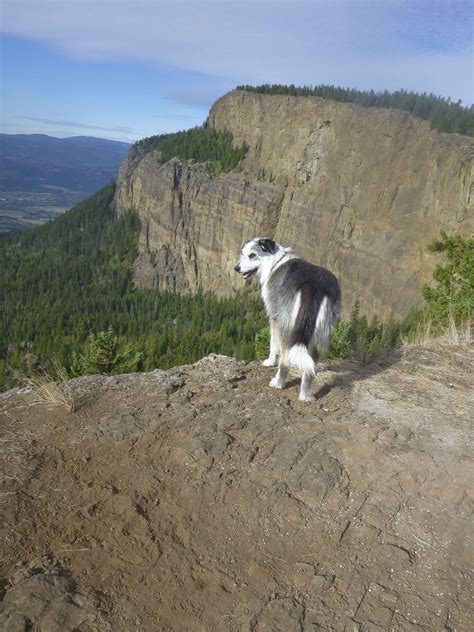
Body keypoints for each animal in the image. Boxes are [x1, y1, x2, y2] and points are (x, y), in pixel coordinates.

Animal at [234, 237, 340, 400]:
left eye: (252, 255)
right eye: (242, 253)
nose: (236, 268)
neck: (275, 262)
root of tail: (313, 285)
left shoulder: (274, 317)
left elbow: (273, 345)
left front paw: (269, 362)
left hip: (288, 328)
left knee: (284, 361)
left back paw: (278, 383)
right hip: (321, 333)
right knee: (310, 367)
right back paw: (306, 396)